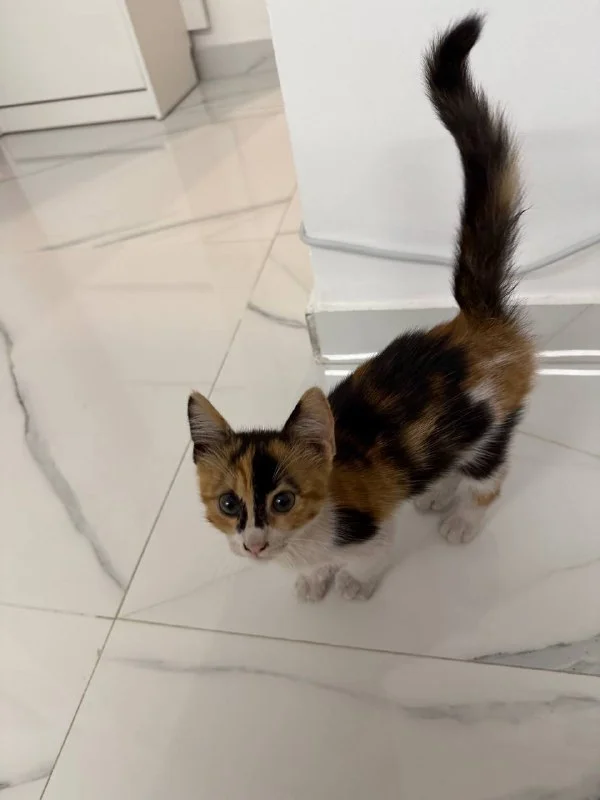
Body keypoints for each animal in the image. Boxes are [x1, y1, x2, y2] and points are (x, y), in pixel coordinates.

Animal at [187, 14, 535, 602]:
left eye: (283, 501)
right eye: (229, 504)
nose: (254, 544)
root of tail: (476, 323)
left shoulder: (371, 524)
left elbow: (370, 558)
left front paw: (349, 584)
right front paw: (311, 580)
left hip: (493, 423)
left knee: (490, 476)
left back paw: (462, 517)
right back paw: (437, 491)